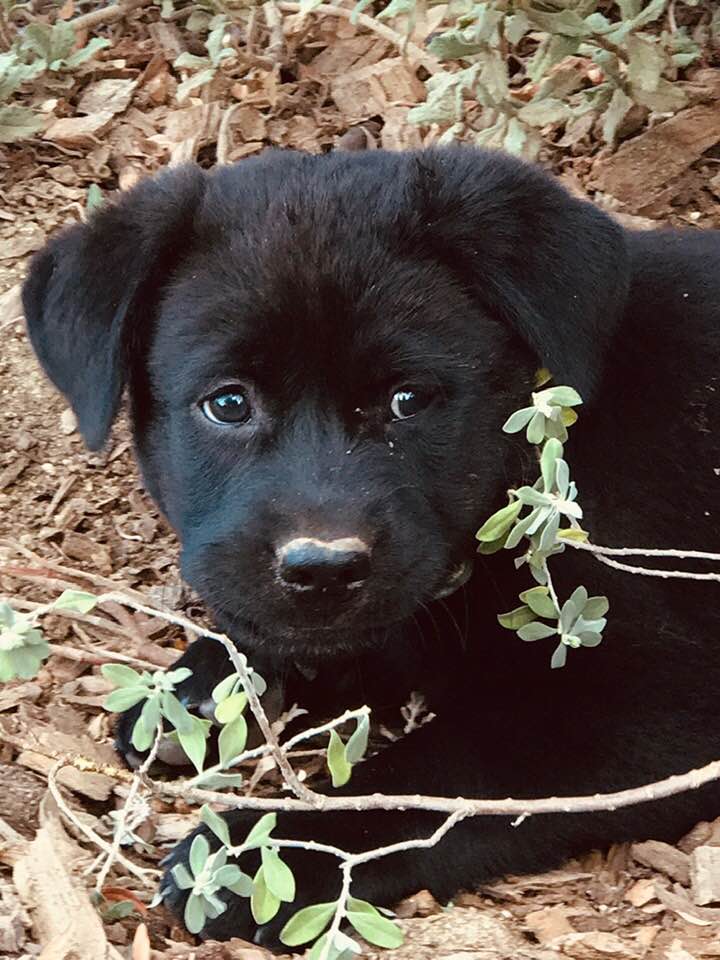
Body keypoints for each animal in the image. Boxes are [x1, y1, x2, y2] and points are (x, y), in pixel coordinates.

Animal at [23, 146, 720, 948]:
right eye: (227, 403)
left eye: (407, 400)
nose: (322, 569)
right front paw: (200, 687)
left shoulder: (656, 700)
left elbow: (441, 776)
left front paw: (263, 856)